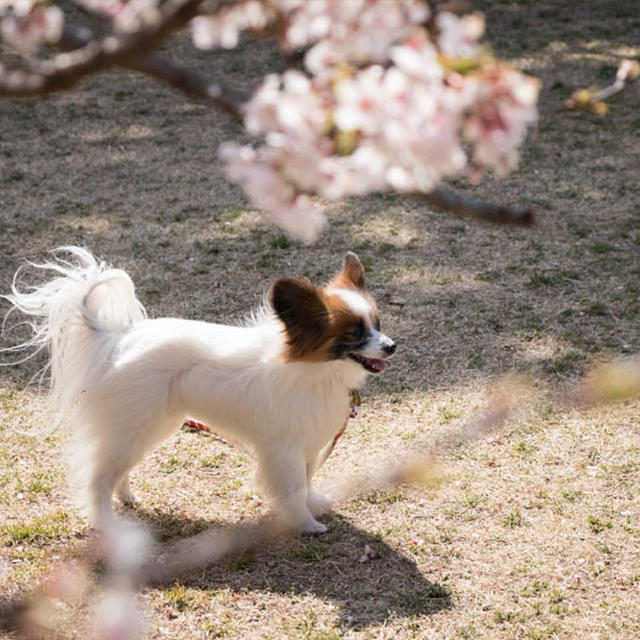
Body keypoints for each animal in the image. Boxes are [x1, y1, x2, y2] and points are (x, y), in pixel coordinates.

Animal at [2, 248, 396, 532]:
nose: (392, 346)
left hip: (147, 428)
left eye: (378, 324)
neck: (316, 371)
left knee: (115, 470)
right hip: (133, 427)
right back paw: (107, 525)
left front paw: (315, 504)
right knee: (97, 477)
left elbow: (309, 479)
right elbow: (293, 488)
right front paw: (306, 524)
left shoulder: (309, 443)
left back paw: (127, 497)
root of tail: (116, 339)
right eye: (355, 334)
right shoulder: (283, 449)